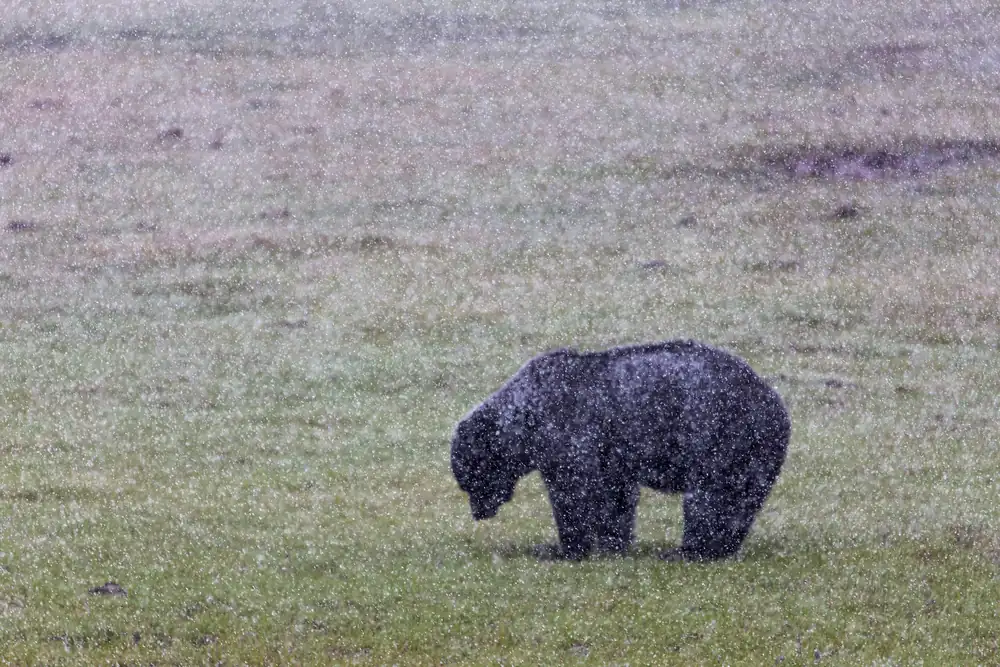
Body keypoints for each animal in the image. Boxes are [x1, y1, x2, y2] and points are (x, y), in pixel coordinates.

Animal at [450, 340, 790, 561]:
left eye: (470, 481)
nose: (478, 513)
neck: (525, 419)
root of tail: (775, 404)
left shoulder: (568, 430)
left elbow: (573, 492)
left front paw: (563, 548)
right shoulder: (612, 454)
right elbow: (615, 497)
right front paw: (612, 543)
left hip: (721, 435)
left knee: (709, 497)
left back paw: (688, 550)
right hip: (756, 455)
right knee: (741, 502)